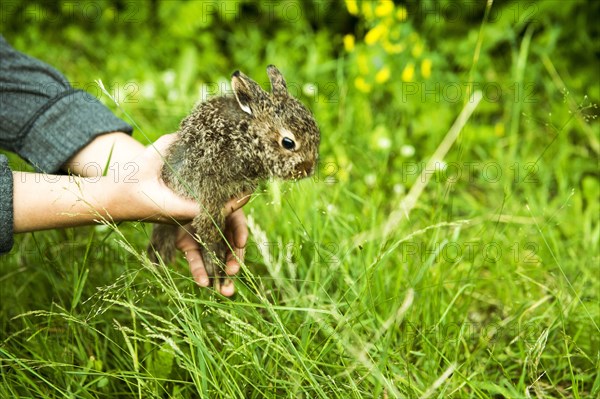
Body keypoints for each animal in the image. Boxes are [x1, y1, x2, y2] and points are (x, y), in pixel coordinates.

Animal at [148, 65, 322, 286]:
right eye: (288, 143)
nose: (309, 169)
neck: (251, 138)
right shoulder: (210, 182)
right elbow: (209, 226)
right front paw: (216, 267)